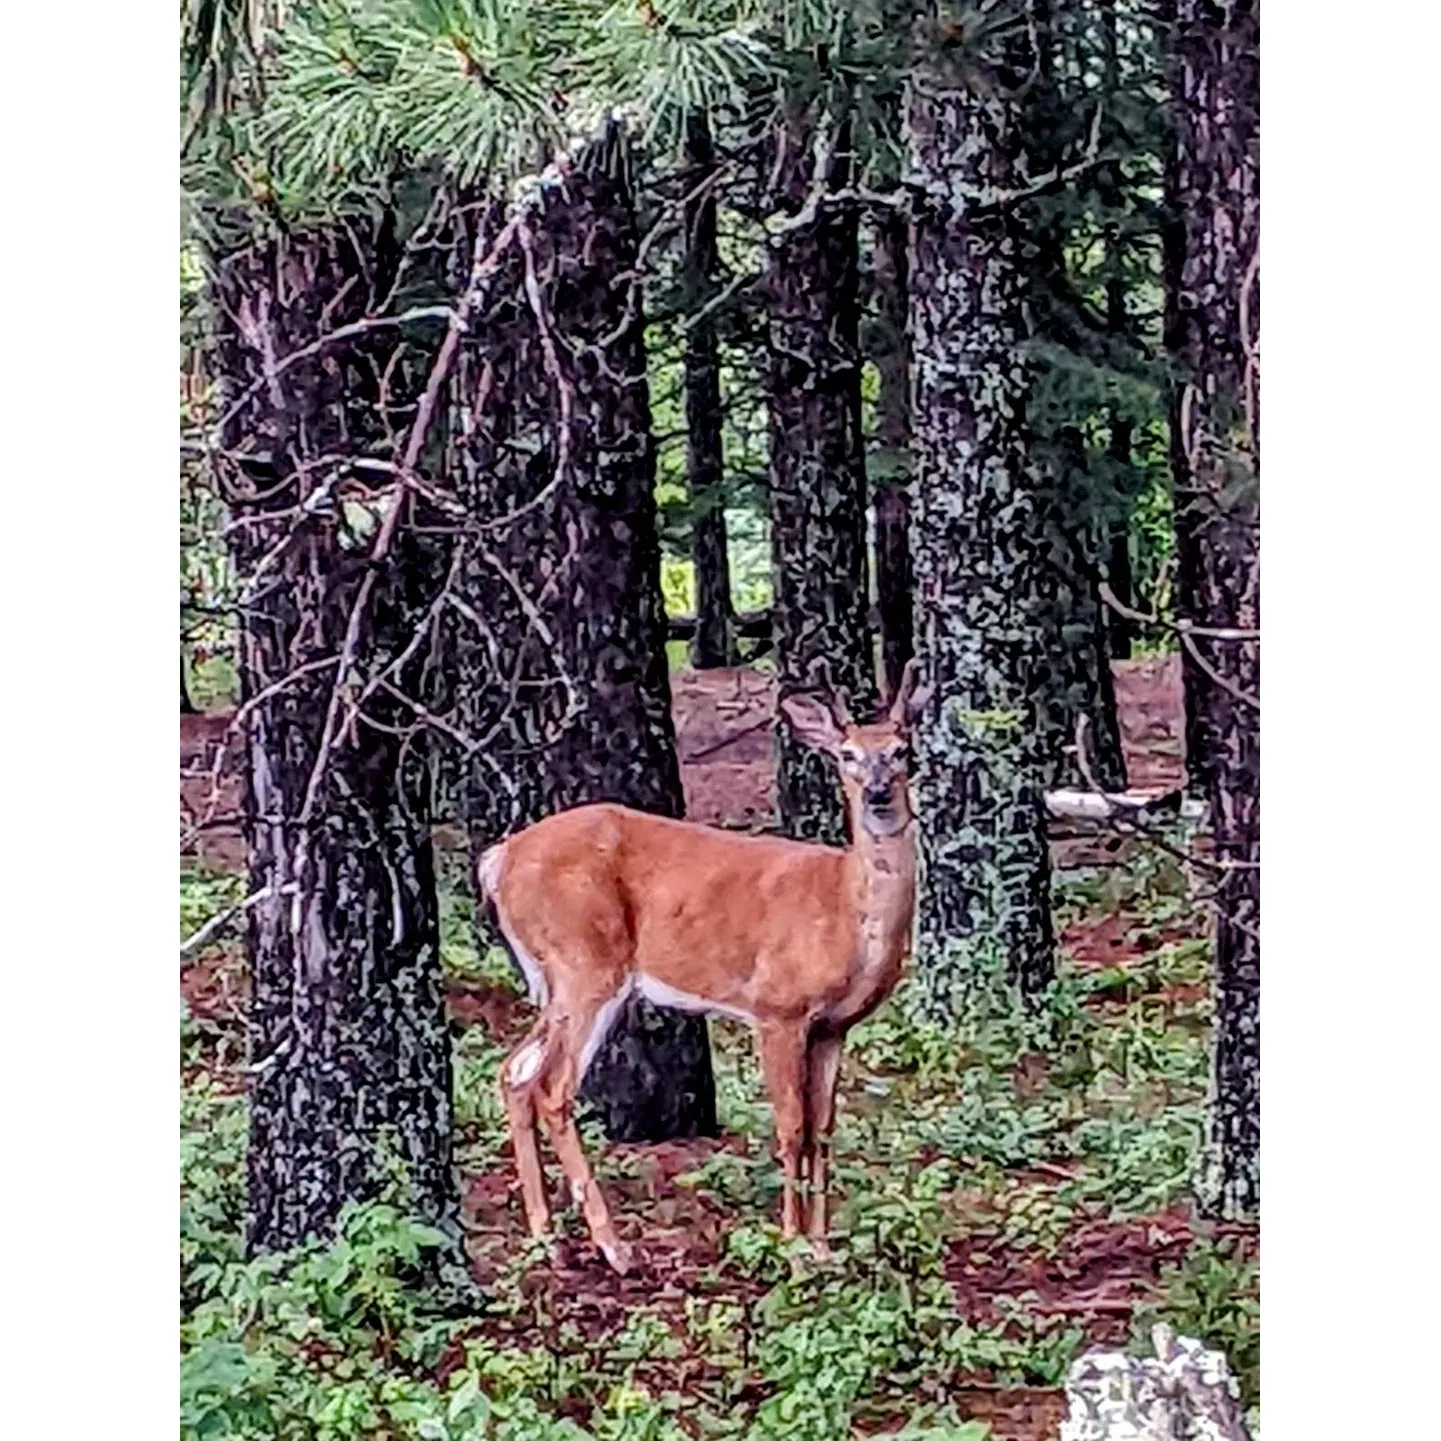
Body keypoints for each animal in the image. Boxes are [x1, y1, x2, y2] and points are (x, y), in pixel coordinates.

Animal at [478, 659, 933, 1268]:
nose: (879, 794)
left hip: (556, 976)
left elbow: (824, 1127)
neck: (846, 906)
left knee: (516, 1072)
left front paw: (821, 1245)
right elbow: (791, 1126)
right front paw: (791, 1245)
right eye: (847, 755)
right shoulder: (778, 1006)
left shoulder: (834, 1025)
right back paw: (612, 1246)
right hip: (587, 961)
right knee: (553, 1085)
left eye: (902, 749)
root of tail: (497, 858)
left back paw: (546, 1234)